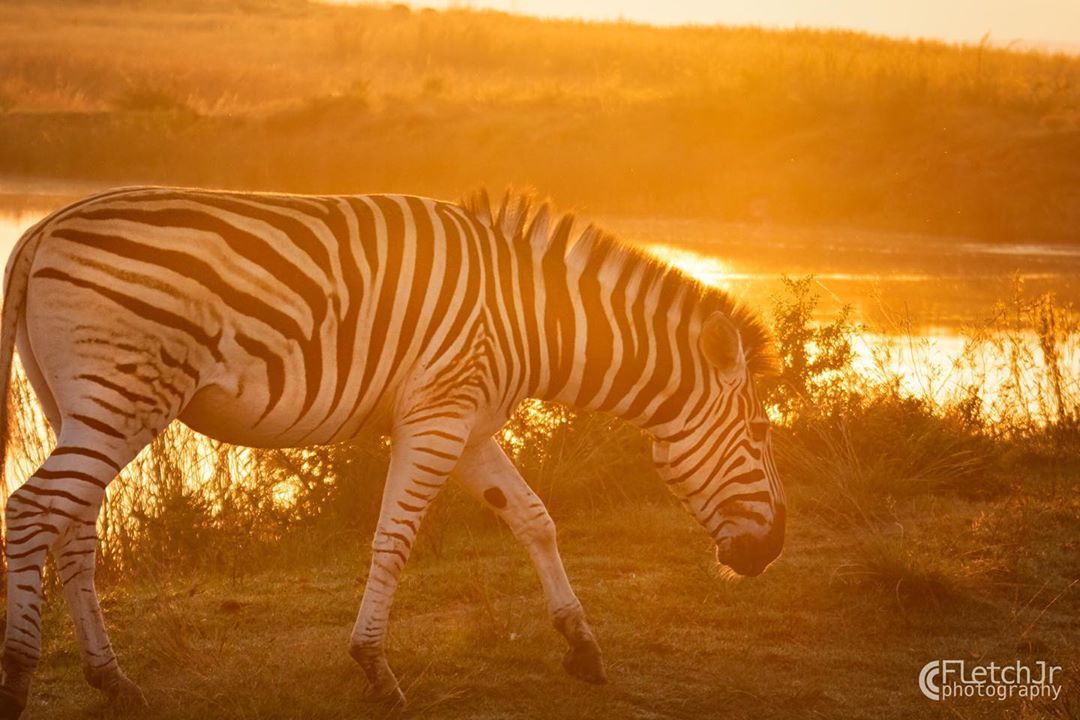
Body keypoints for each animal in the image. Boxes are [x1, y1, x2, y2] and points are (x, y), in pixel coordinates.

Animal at [0, 186, 785, 715]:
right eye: (760, 433)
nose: (773, 552)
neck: (533, 319)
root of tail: (42, 229)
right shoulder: (437, 417)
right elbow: (397, 537)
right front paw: (375, 666)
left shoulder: (468, 426)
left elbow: (535, 520)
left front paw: (581, 644)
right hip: (122, 398)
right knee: (31, 512)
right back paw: (19, 673)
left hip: (79, 404)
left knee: (74, 532)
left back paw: (112, 679)